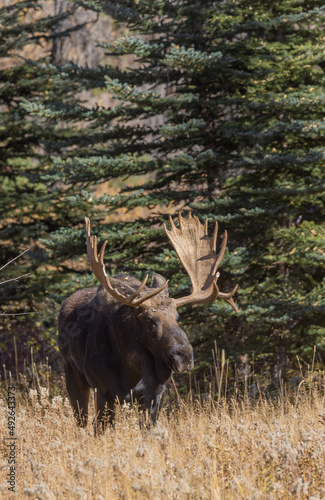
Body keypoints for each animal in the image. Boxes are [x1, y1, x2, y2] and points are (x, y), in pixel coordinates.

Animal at [57, 213, 235, 432]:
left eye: (177, 317)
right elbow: (100, 430)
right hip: (72, 375)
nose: (184, 357)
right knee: (80, 421)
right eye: (149, 320)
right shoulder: (104, 390)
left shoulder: (154, 394)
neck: (132, 370)